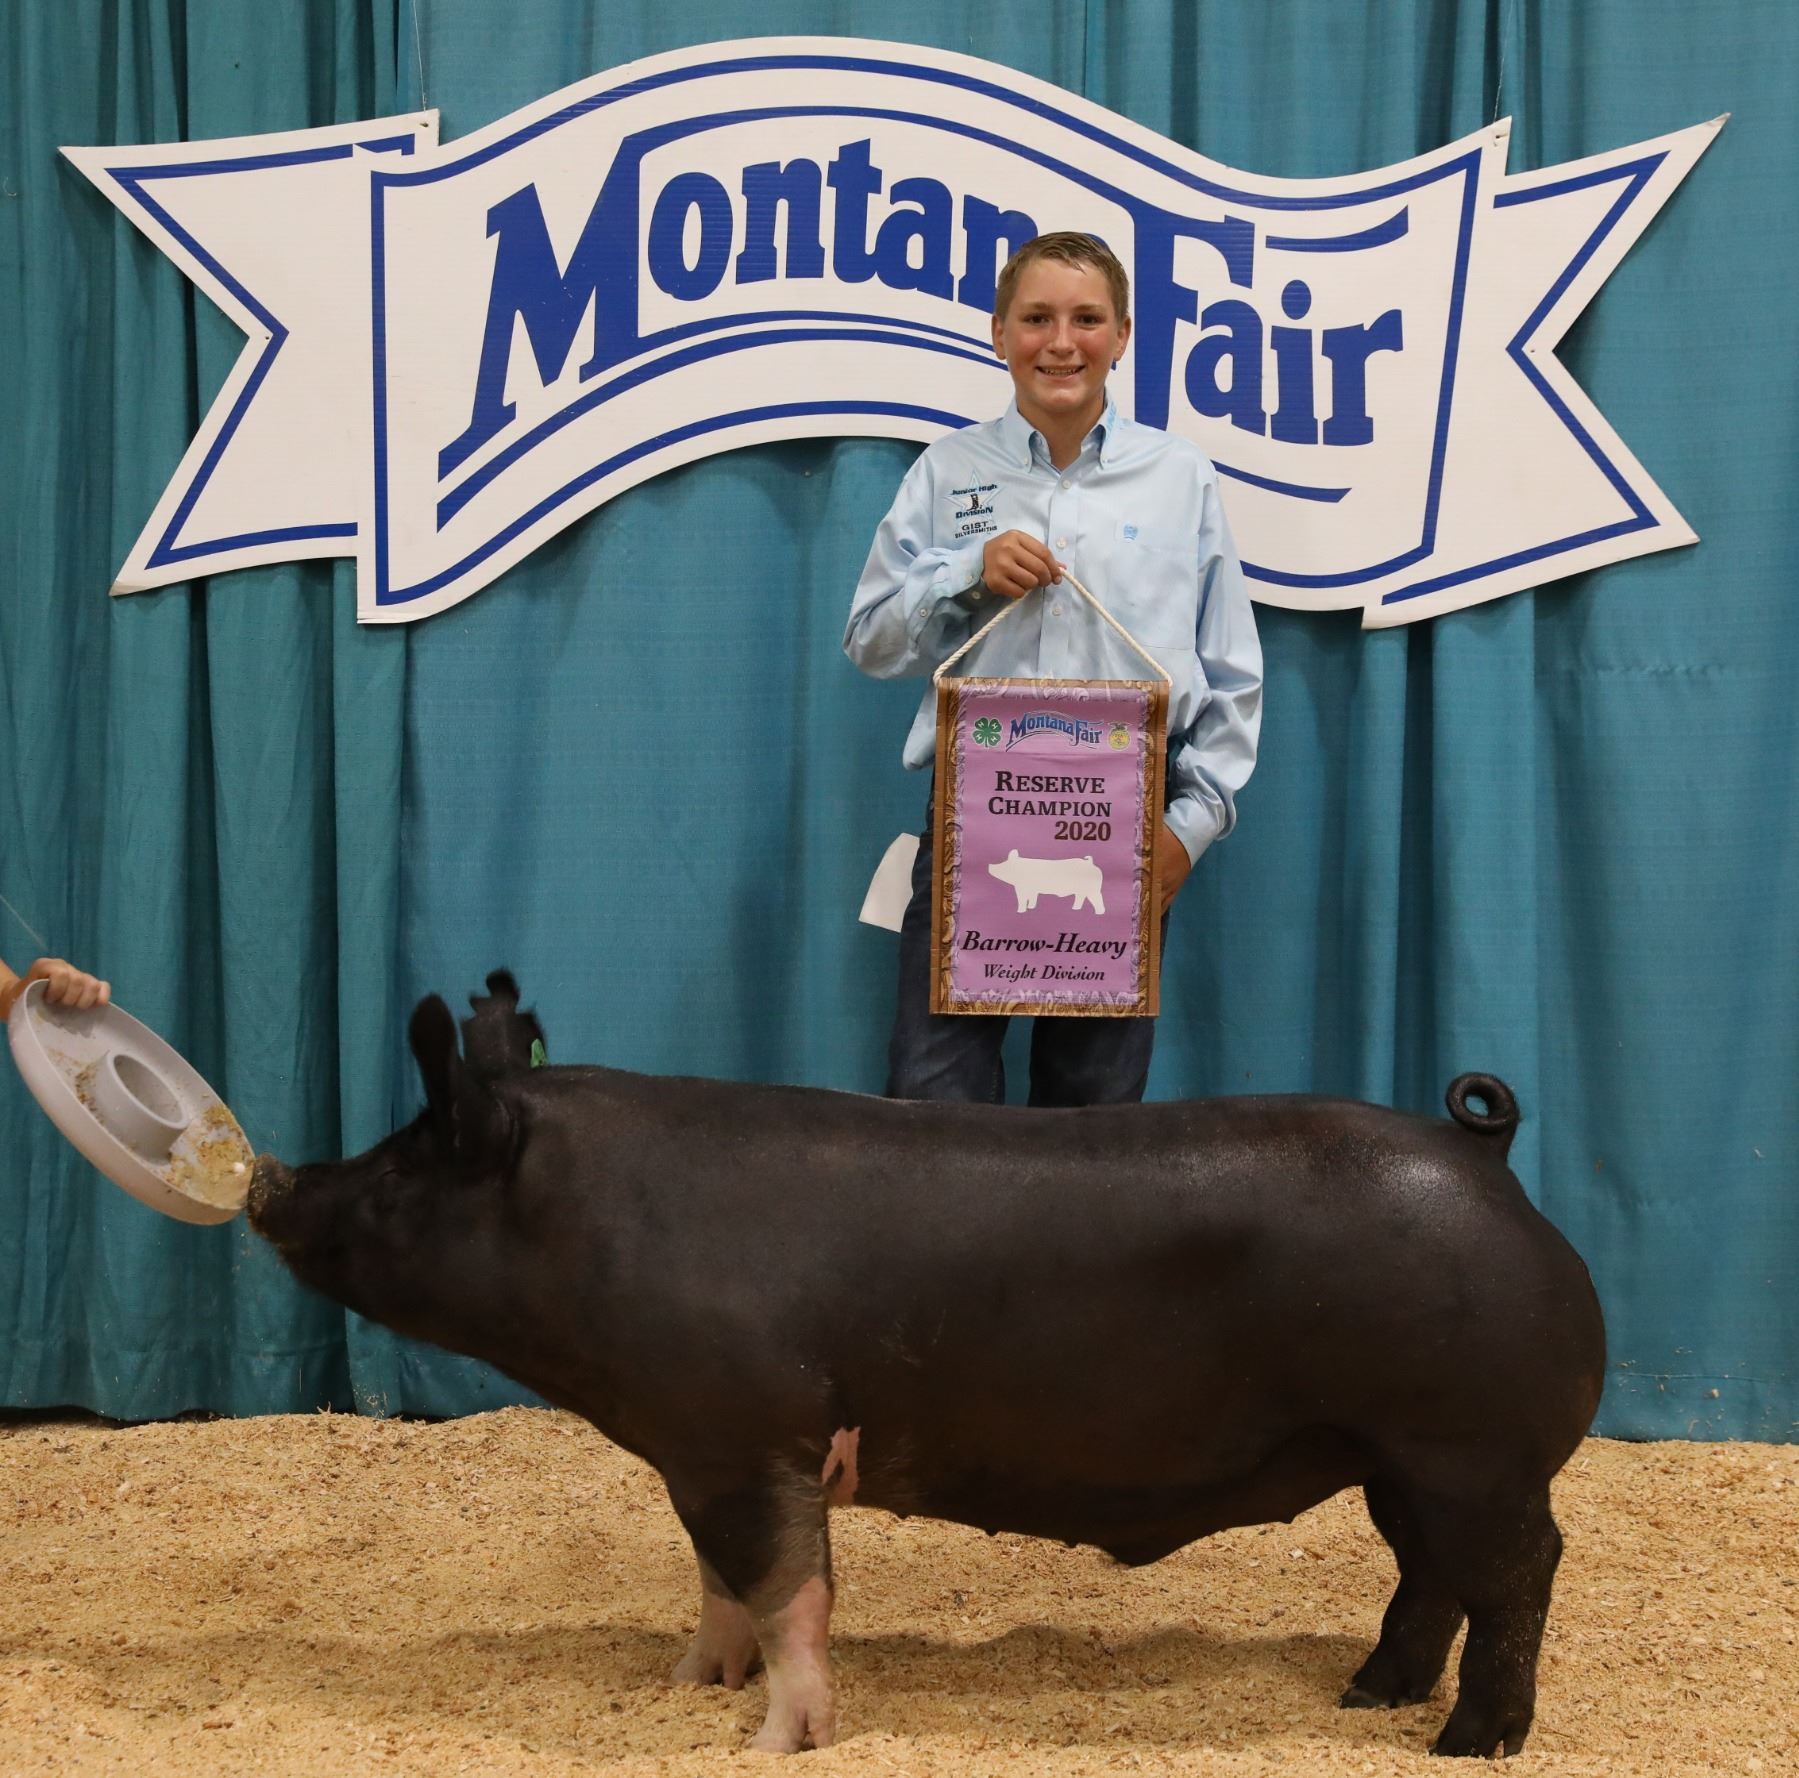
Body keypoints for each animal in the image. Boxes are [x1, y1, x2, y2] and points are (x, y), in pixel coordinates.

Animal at [248, 971, 1605, 1759]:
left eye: (405, 1162)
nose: (273, 1179)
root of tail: (1480, 1153)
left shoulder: (750, 1433)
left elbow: (787, 1590)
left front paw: (777, 1740)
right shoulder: (701, 1448)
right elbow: (718, 1584)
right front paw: (689, 1682)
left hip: (1470, 1448)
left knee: (1518, 1571)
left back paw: (1466, 1741)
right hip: (1397, 1459)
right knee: (1430, 1575)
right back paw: (1366, 1697)